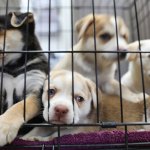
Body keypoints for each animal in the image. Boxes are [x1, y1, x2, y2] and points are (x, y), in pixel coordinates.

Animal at [21, 69, 150, 141]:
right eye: (51, 91)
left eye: (79, 99)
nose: (60, 109)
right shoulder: (49, 123)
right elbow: (39, 127)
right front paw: (26, 136)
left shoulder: (83, 129)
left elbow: (57, 135)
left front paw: (40, 139)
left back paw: (138, 131)